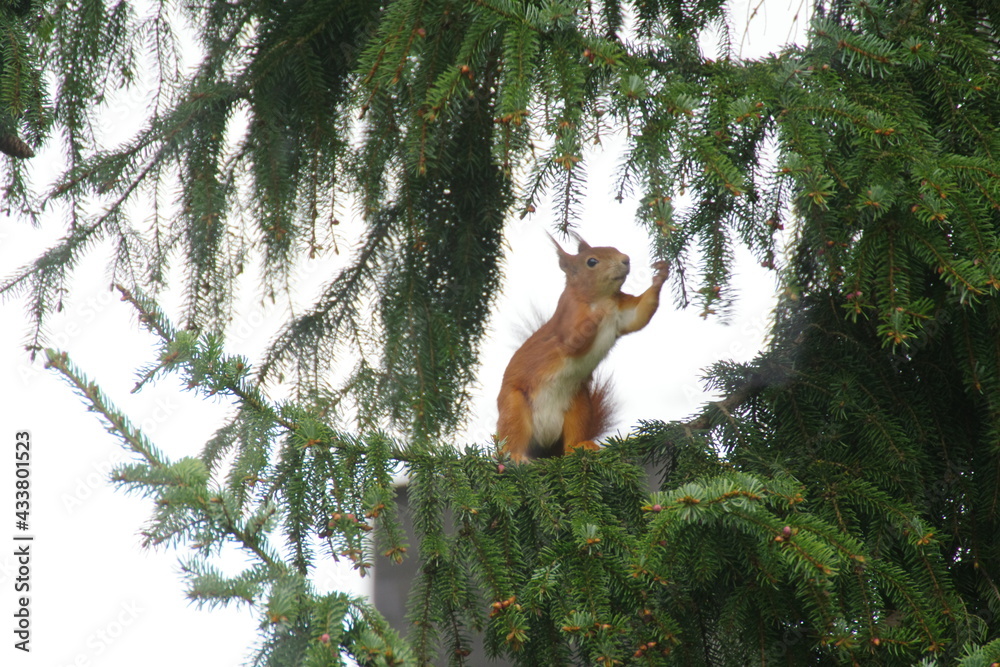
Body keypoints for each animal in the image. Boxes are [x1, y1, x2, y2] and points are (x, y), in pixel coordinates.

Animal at [496, 234, 669, 462]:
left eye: (614, 247)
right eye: (592, 262)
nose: (626, 259)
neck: (600, 298)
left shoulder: (623, 313)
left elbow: (639, 315)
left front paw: (660, 275)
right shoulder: (568, 320)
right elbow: (573, 340)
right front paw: (596, 316)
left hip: (578, 406)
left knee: (572, 439)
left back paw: (581, 446)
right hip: (514, 405)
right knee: (512, 434)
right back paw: (515, 456)